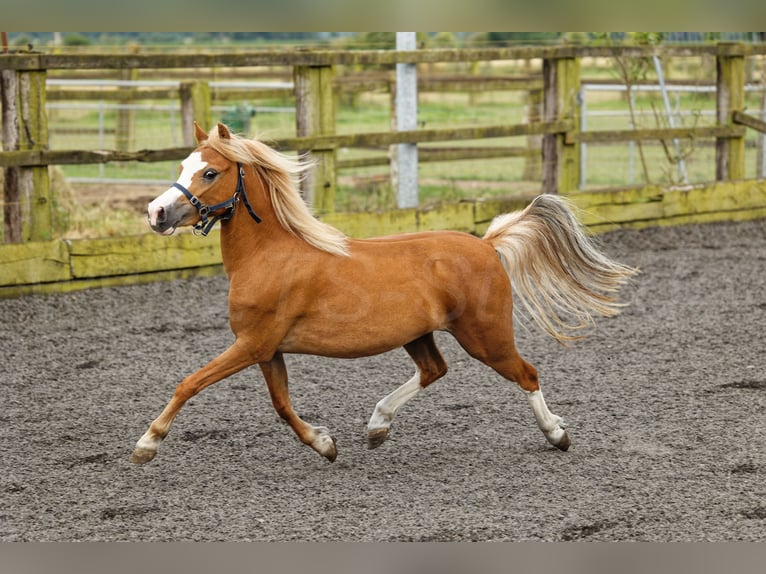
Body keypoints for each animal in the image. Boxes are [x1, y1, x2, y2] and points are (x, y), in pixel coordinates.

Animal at [130, 124, 636, 466]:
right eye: (182, 167)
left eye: (209, 172)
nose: (156, 213)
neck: (271, 255)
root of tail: (488, 245)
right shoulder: (267, 349)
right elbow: (282, 406)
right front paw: (326, 444)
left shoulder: (252, 344)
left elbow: (189, 383)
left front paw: (146, 445)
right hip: (420, 334)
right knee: (435, 370)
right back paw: (377, 427)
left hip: (486, 336)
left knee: (526, 374)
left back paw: (557, 435)